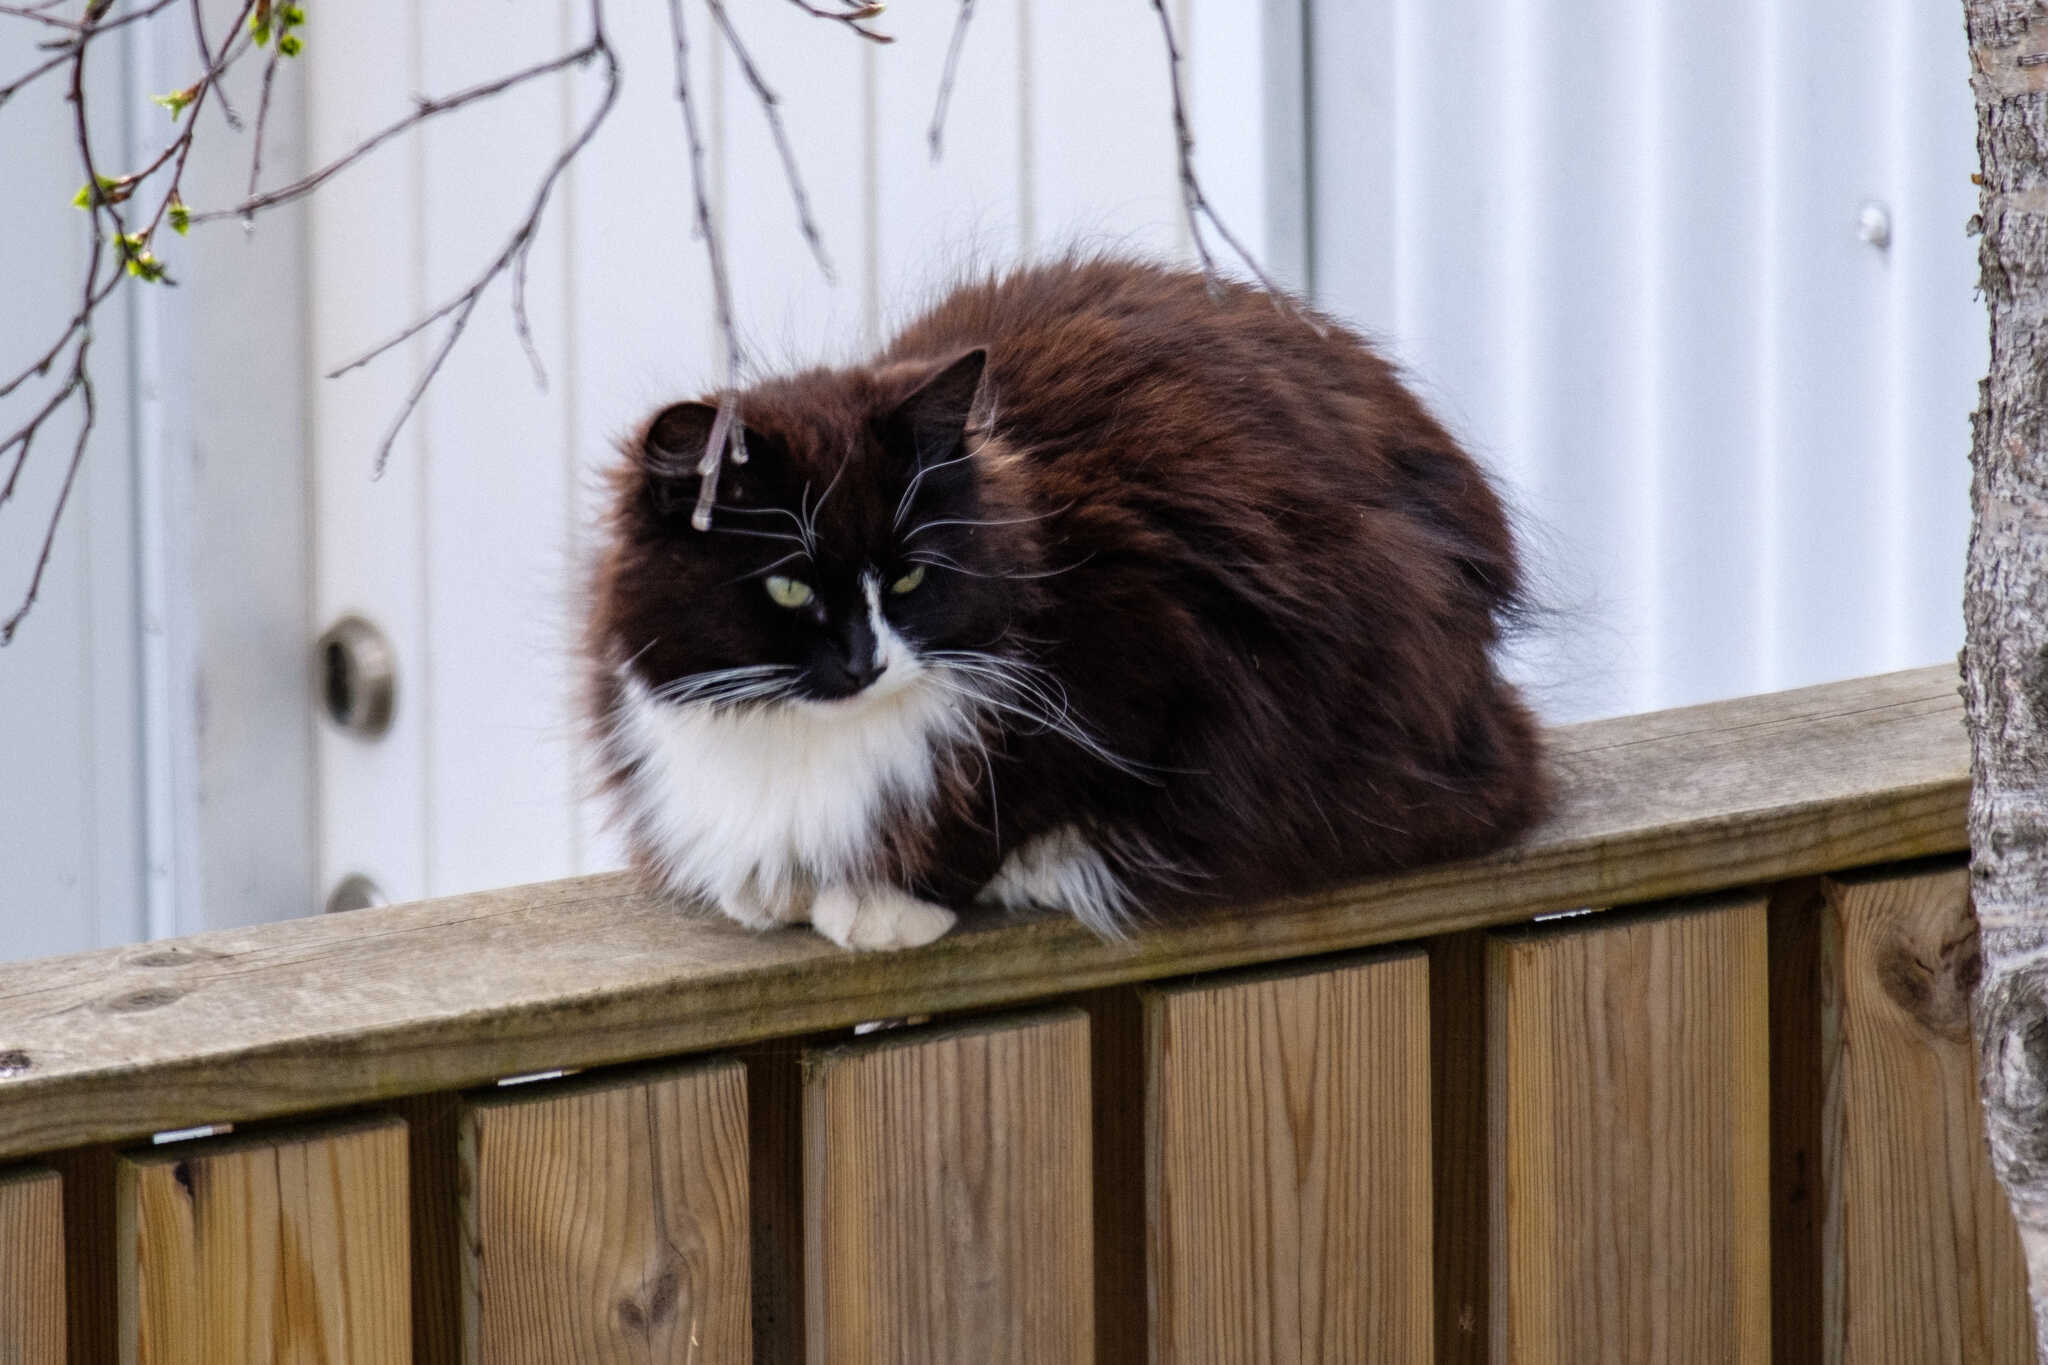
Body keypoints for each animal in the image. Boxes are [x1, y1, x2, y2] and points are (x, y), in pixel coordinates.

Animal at [585, 261, 1540, 957]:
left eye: (909, 579)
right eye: (790, 588)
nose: (867, 662)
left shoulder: (1161, 652)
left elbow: (1007, 795)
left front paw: (886, 900)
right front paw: (778, 881)